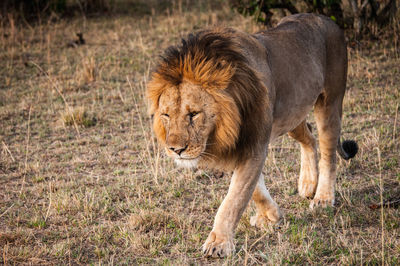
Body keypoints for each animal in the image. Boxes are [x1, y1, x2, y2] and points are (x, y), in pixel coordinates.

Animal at [145, 13, 358, 256]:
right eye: (166, 115)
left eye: (193, 114)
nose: (175, 150)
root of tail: (326, 18)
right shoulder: (237, 144)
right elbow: (253, 188)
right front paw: (271, 217)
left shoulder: (254, 144)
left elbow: (235, 198)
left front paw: (219, 243)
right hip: (292, 113)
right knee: (310, 138)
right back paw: (307, 184)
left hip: (330, 102)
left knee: (328, 152)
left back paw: (323, 198)